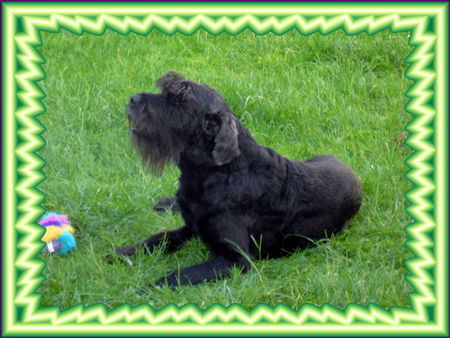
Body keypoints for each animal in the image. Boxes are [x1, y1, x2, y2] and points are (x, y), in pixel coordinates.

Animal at [117, 72, 362, 288]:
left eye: (179, 100)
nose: (132, 99)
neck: (220, 172)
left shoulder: (236, 260)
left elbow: (179, 275)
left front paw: (147, 288)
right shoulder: (192, 227)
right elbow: (158, 238)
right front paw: (123, 252)